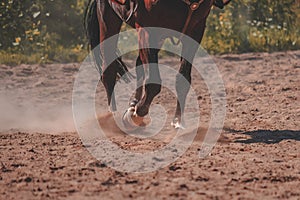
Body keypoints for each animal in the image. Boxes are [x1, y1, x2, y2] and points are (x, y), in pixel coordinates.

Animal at [85, 0, 231, 130]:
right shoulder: (148, 31)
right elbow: (153, 83)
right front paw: (136, 115)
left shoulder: (195, 31)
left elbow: (182, 79)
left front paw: (177, 120)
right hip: (108, 19)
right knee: (108, 72)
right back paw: (113, 115)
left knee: (138, 64)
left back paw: (133, 103)